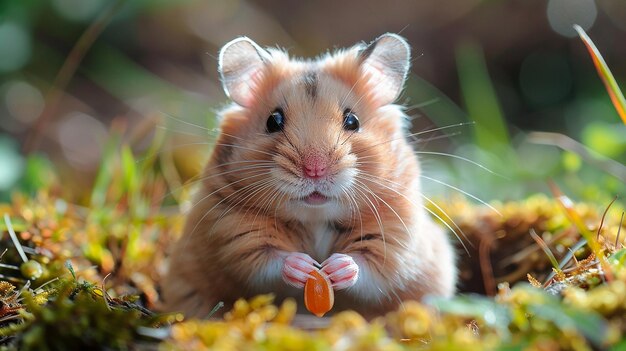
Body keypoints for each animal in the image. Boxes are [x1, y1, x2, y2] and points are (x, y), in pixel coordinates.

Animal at [161, 33, 454, 320]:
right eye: (273, 121)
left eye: (353, 121)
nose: (315, 169)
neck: (316, 217)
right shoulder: (234, 235)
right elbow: (267, 260)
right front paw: (304, 266)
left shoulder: (396, 237)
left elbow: (372, 266)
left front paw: (337, 267)